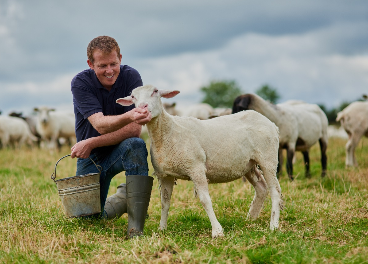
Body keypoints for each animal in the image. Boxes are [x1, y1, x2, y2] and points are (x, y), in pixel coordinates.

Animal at [116, 84, 284, 239]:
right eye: (133, 96)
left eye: (155, 91)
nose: (142, 108)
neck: (167, 132)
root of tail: (271, 124)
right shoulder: (165, 175)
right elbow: (165, 202)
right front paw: (162, 229)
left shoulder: (196, 168)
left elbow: (205, 200)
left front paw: (217, 231)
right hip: (249, 164)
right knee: (261, 188)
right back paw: (250, 219)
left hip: (267, 158)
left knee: (275, 190)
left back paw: (273, 225)